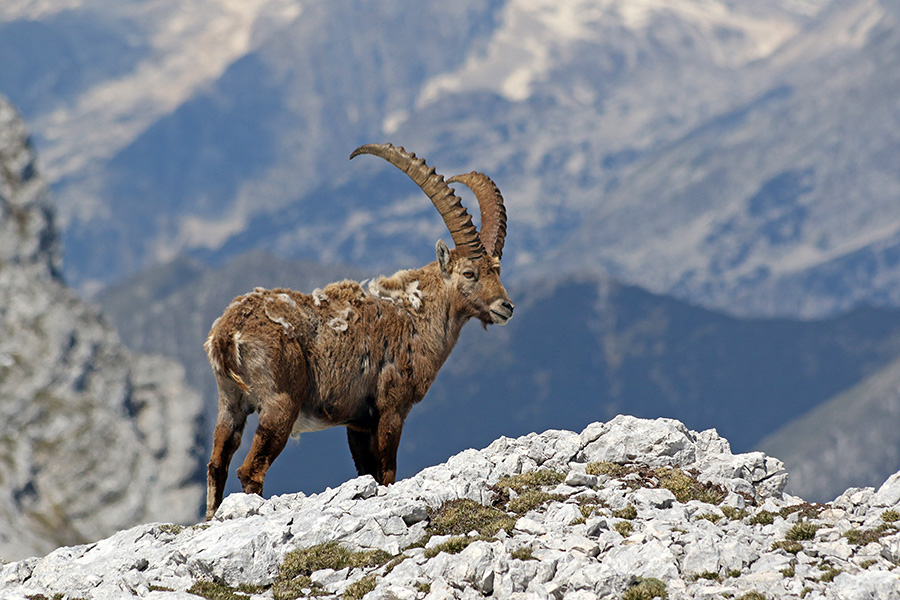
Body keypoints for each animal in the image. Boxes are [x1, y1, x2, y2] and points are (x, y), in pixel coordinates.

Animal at [203, 143, 513, 520]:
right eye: (470, 273)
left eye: (497, 270)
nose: (506, 307)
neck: (415, 315)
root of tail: (227, 334)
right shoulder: (391, 408)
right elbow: (388, 472)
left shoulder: (356, 422)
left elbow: (368, 471)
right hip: (280, 403)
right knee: (250, 470)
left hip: (230, 403)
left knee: (217, 464)